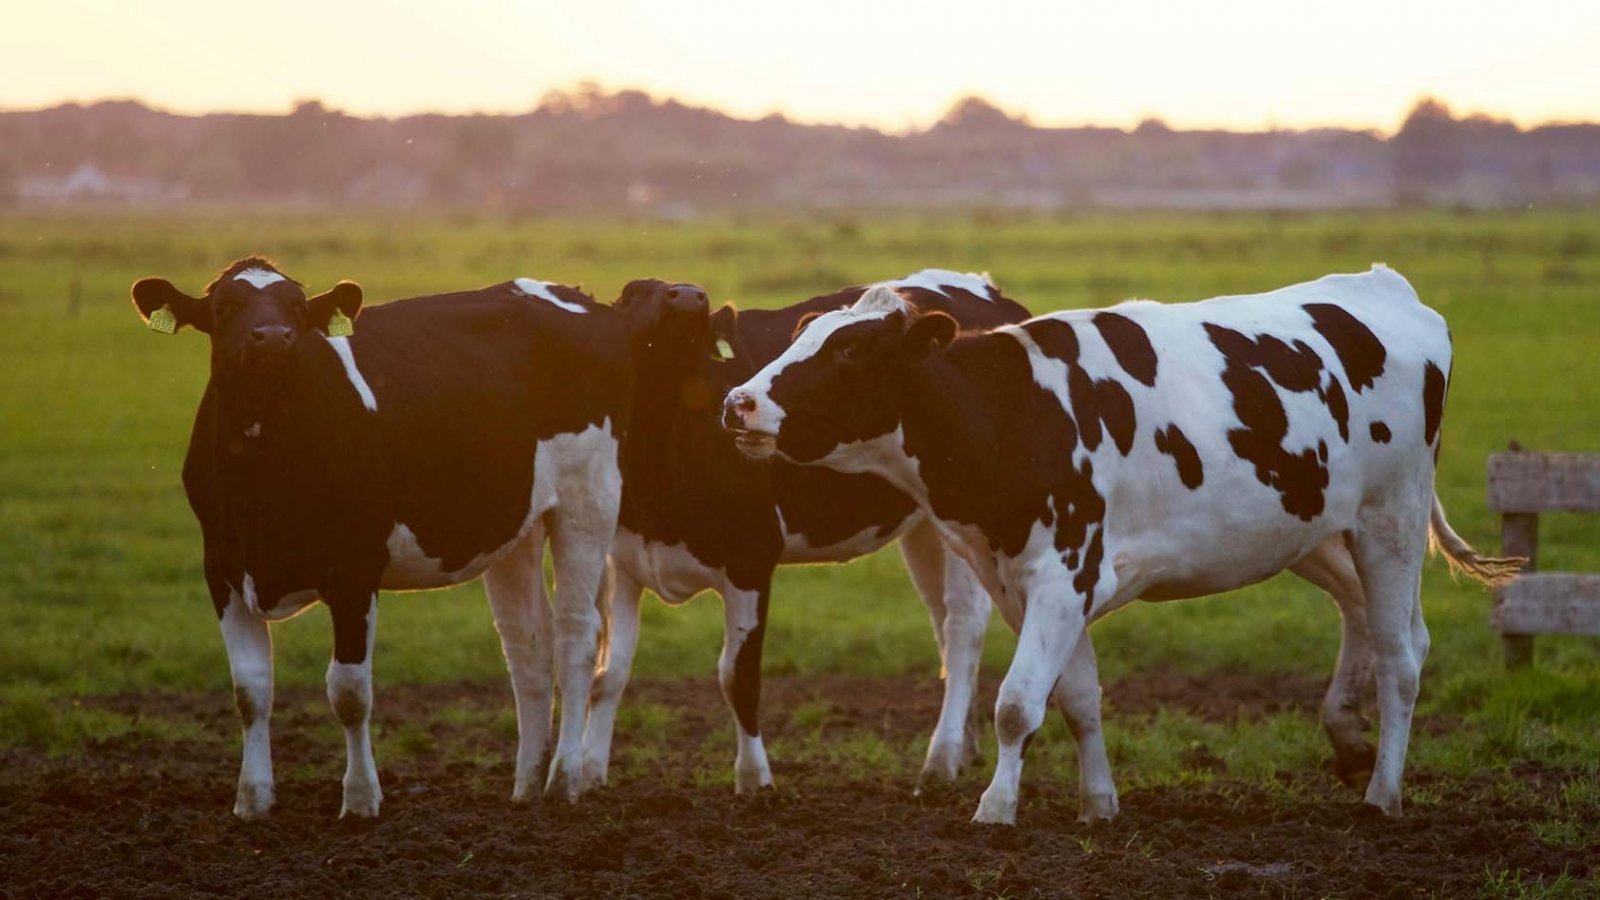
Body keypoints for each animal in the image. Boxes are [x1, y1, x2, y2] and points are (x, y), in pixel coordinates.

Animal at [131, 256, 633, 816]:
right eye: (227, 307)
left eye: (297, 307)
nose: (274, 338)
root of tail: (573, 294)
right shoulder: (221, 570)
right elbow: (250, 690)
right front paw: (252, 800)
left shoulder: (354, 571)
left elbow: (349, 692)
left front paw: (360, 799)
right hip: (516, 526)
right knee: (528, 646)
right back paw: (525, 785)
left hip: (588, 500)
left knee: (576, 636)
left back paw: (564, 779)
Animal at [582, 267, 1030, 791]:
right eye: (633, 293)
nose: (690, 296)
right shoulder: (623, 561)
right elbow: (608, 673)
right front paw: (586, 775)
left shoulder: (751, 557)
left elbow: (738, 676)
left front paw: (754, 781)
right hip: (926, 526)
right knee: (941, 622)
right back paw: (964, 747)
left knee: (962, 628)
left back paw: (940, 761)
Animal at [726, 262, 1523, 826]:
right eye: (801, 336)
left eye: (851, 350)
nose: (738, 402)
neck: (1013, 413)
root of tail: (1384, 286)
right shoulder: (1029, 582)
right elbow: (1076, 698)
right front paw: (1098, 804)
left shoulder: (1062, 573)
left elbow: (1016, 704)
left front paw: (995, 810)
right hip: (1314, 529)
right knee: (1369, 617)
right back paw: (1349, 739)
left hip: (1391, 518)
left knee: (1402, 656)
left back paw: (1383, 793)